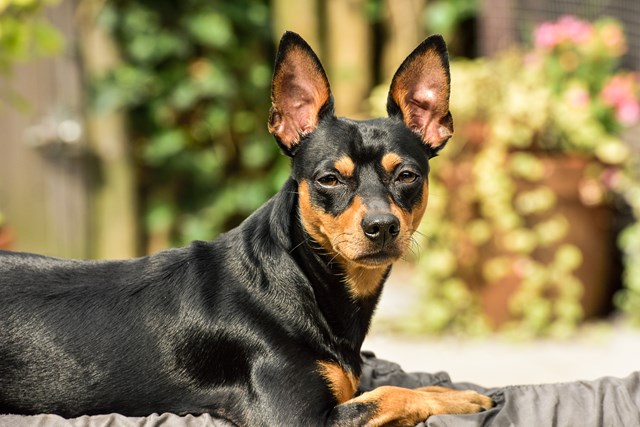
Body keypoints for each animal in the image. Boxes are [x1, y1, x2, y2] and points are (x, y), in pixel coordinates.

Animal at [0, 32, 492, 424]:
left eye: (407, 176)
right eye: (329, 179)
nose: (382, 226)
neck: (302, 277)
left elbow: (392, 388)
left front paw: (456, 391)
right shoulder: (295, 418)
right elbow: (391, 392)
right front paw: (461, 400)